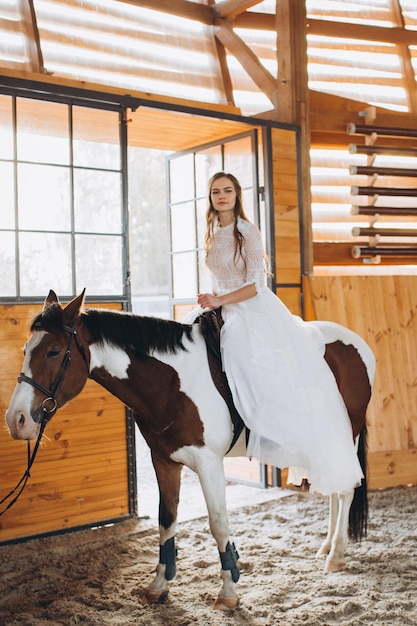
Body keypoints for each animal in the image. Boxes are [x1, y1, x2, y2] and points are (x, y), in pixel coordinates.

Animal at [4, 288, 374, 608]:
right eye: (25, 350)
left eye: (53, 351)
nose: (16, 419)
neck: (172, 382)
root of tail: (358, 345)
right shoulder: (164, 459)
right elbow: (166, 519)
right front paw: (158, 585)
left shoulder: (209, 463)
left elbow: (218, 523)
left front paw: (228, 591)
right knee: (335, 487)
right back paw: (326, 546)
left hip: (347, 435)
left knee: (345, 489)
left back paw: (336, 555)